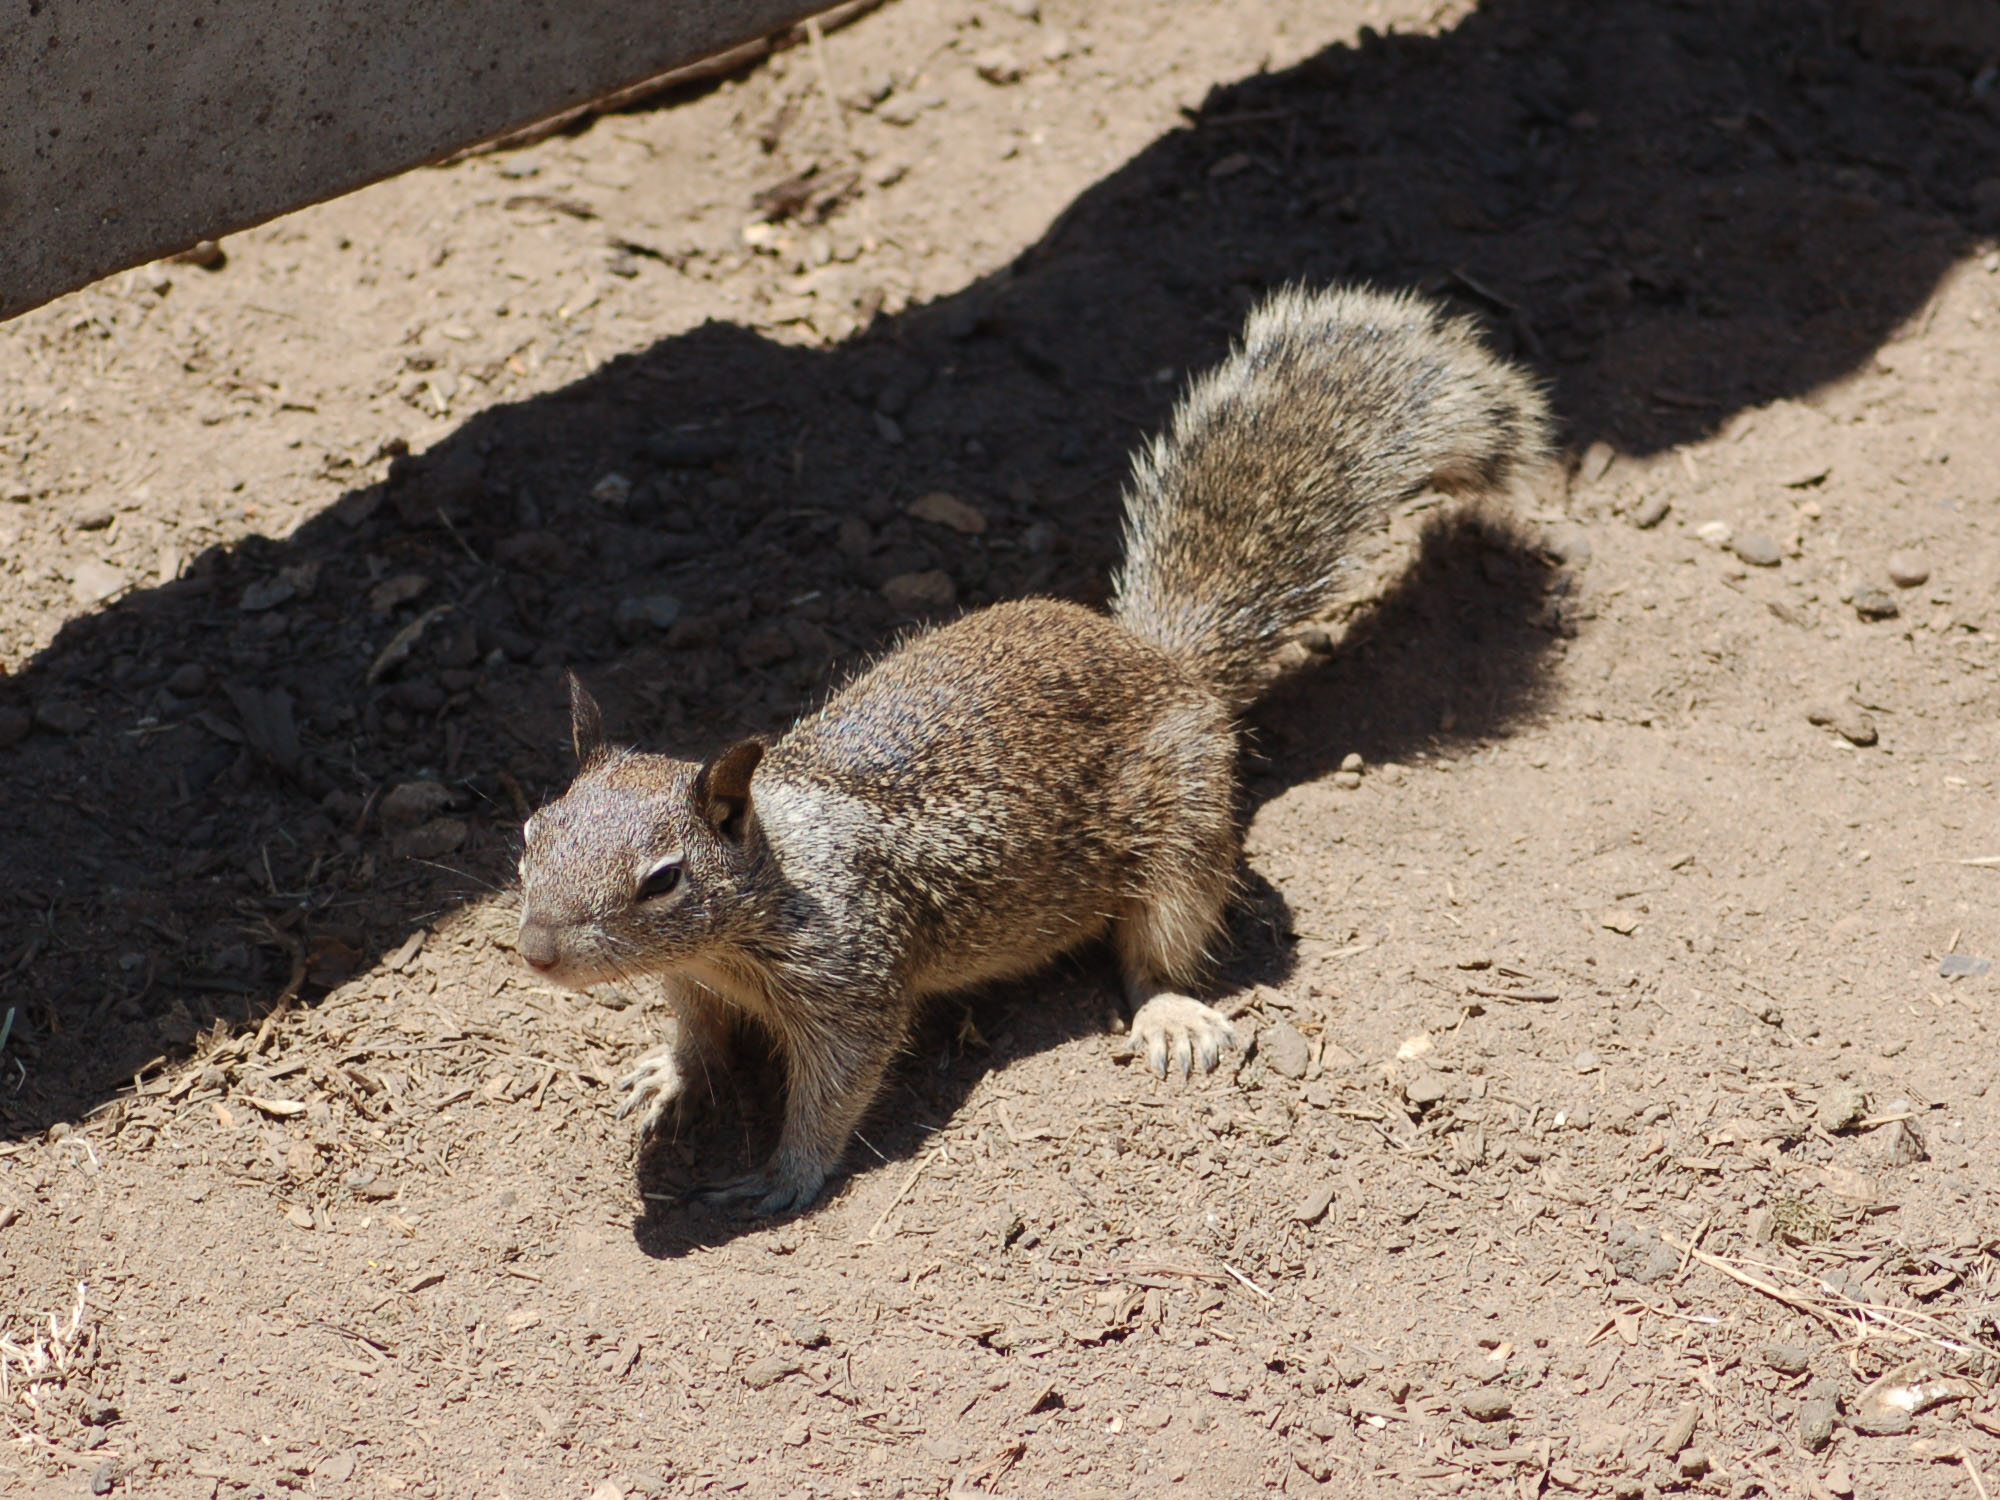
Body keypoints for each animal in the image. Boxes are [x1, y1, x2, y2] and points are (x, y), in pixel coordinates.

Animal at [515, 284, 1551, 1216]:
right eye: (530, 835)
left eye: (662, 881)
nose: (535, 952)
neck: (773, 884)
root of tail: (1165, 658)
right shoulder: (694, 979)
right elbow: (698, 1036)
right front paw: (667, 1072)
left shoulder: (855, 982)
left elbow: (837, 1089)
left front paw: (782, 1176)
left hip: (1182, 841)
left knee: (1159, 952)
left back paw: (1169, 1017)